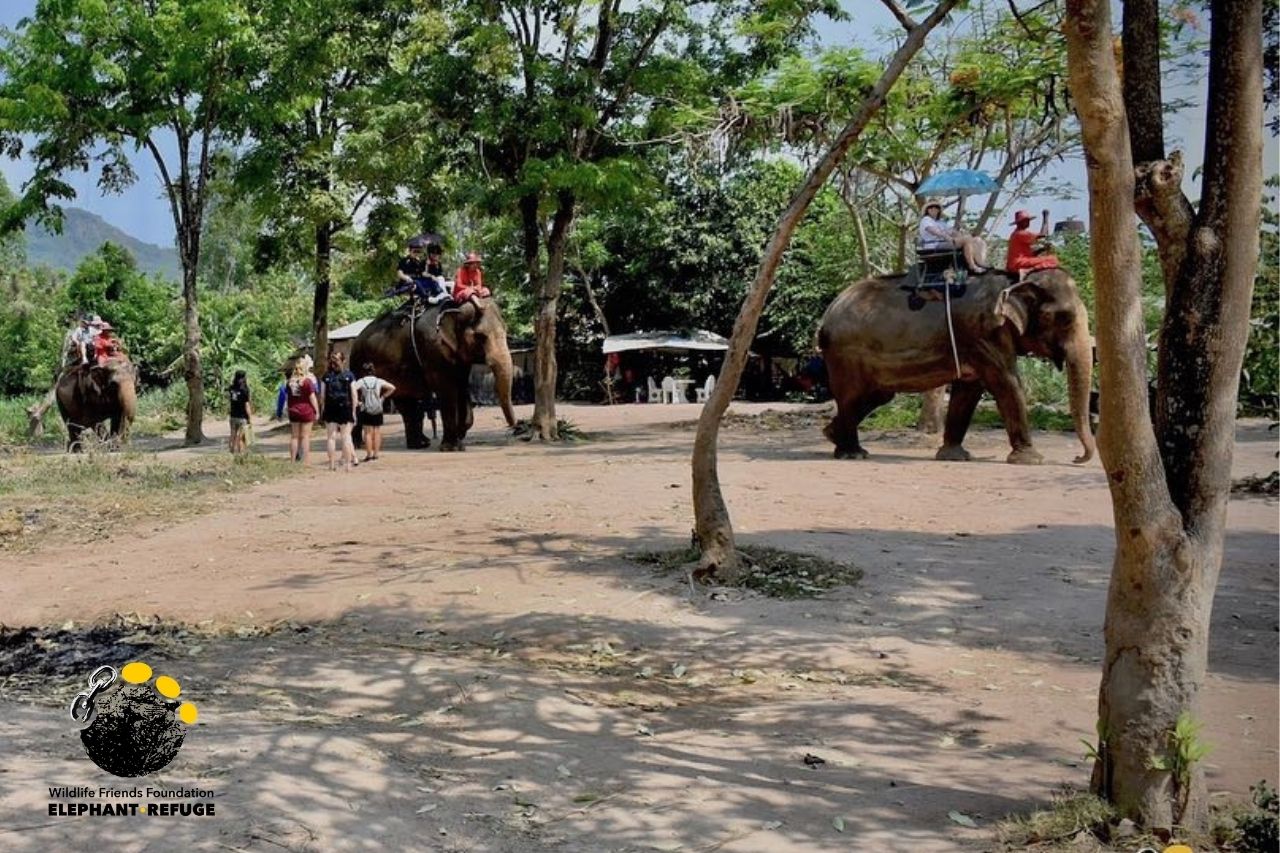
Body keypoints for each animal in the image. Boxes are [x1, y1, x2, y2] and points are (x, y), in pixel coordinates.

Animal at [349, 298, 517, 451]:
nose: (514, 426)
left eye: (506, 331)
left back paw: (420, 444)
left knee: (406, 403)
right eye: (480, 336)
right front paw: (451, 447)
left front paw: (460, 434)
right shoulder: (433, 348)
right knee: (361, 400)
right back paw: (358, 445)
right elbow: (446, 389)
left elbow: (462, 386)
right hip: (357, 364)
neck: (454, 309)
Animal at [817, 269, 1096, 465]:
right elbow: (1007, 382)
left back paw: (832, 434)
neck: (1013, 281)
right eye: (1064, 318)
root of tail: (827, 314)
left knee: (878, 396)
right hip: (845, 354)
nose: (1077, 458)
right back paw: (853, 454)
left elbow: (968, 391)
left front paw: (954, 456)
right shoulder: (985, 332)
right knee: (852, 396)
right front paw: (1030, 460)